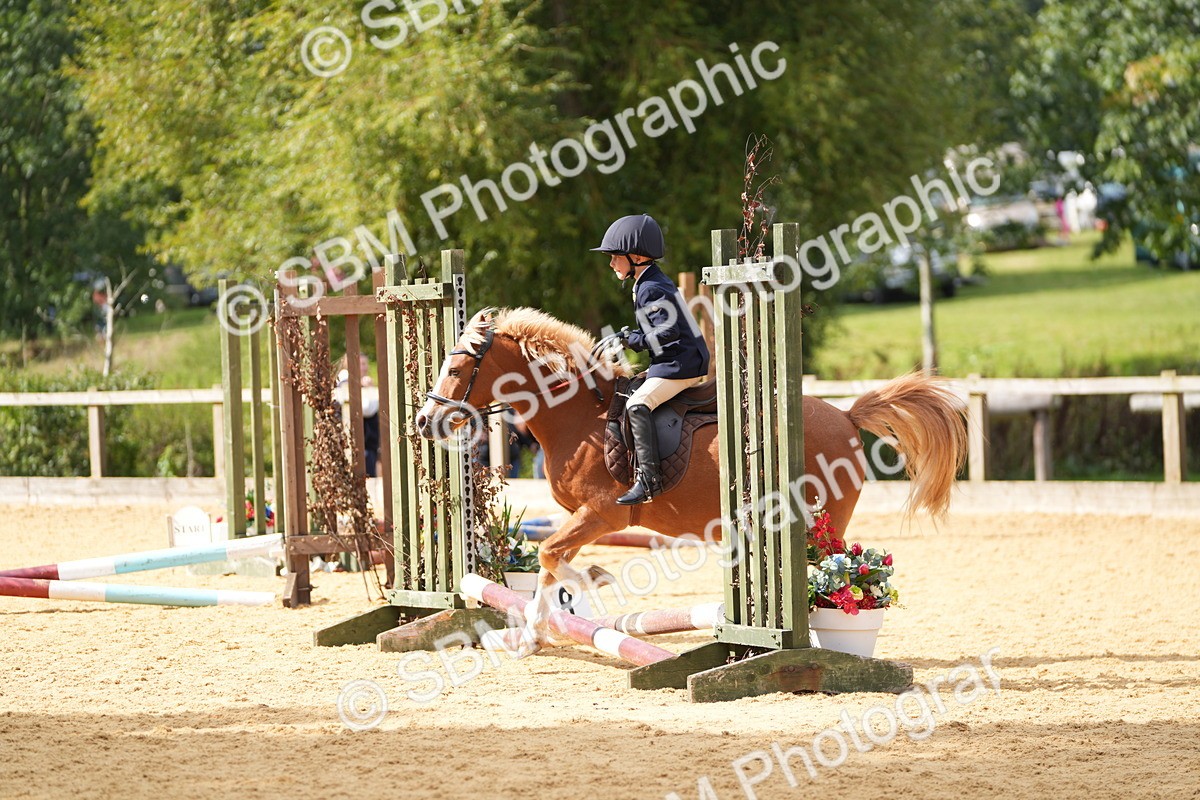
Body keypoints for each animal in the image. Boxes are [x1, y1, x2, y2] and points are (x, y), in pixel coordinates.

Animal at [415, 307, 967, 654]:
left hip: (818, 521)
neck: (576, 416)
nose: (422, 422)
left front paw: (596, 580)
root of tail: (847, 415)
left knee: (835, 574)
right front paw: (531, 637)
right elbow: (549, 567)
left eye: (458, 367)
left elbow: (552, 556)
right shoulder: (580, 517)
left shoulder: (605, 513)